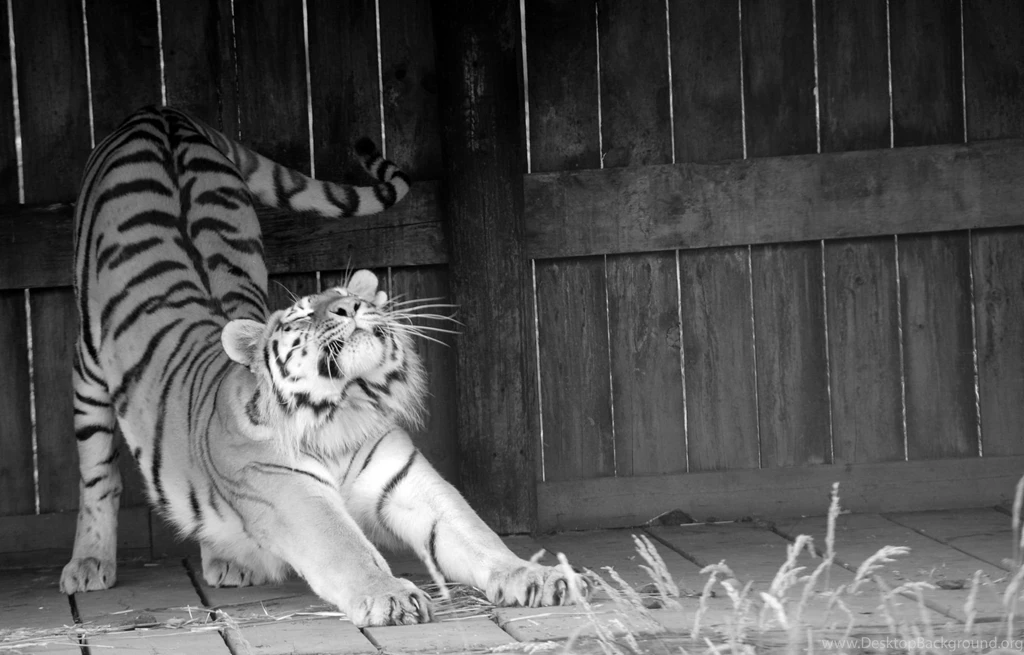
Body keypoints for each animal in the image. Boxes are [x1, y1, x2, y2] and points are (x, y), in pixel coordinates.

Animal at [60, 105, 588, 626]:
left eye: (354, 295)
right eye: (300, 313)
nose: (349, 307)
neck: (344, 406)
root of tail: (159, 112)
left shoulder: (407, 482)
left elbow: (476, 535)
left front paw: (539, 577)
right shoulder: (292, 493)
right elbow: (348, 550)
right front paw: (390, 596)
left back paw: (228, 561)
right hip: (87, 369)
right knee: (97, 474)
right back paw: (88, 564)